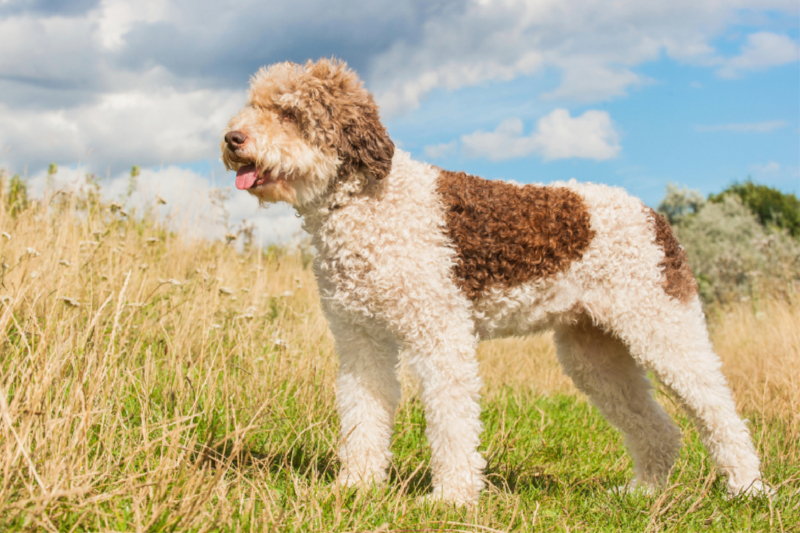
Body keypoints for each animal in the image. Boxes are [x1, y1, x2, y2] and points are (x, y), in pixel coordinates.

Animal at [219, 58, 768, 502]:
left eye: (290, 113)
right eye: (253, 105)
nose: (232, 139)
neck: (366, 203)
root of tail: (654, 215)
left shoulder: (440, 337)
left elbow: (451, 422)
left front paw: (452, 498)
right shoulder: (361, 342)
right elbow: (362, 417)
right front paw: (354, 487)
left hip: (664, 330)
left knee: (721, 414)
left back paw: (749, 490)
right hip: (594, 354)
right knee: (658, 429)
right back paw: (642, 492)